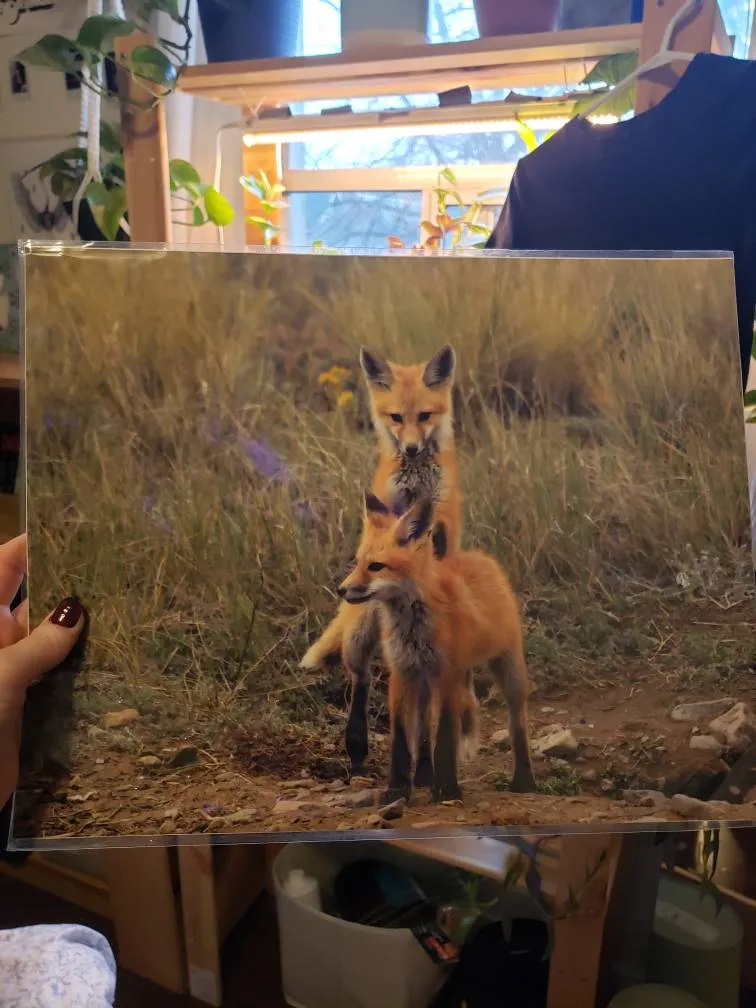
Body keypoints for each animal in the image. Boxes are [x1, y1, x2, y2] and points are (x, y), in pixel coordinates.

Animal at [300, 343, 463, 772]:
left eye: (424, 416)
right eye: (396, 418)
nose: (410, 448)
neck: (416, 481)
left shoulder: (446, 524)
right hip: (360, 634)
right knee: (361, 680)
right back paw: (356, 745)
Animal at [337, 490, 536, 805]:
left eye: (376, 566)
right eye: (357, 563)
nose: (342, 590)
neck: (413, 628)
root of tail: (479, 556)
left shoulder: (447, 675)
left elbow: (444, 737)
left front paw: (446, 790)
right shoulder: (402, 673)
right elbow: (402, 739)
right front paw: (397, 789)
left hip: (508, 671)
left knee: (518, 726)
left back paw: (524, 780)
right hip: (425, 682)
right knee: (423, 729)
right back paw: (423, 776)